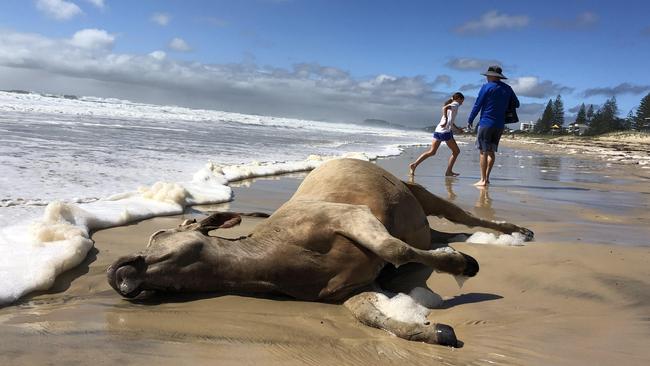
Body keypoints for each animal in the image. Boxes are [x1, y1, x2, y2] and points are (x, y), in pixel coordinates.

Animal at [107, 158, 532, 346]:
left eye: (158, 233)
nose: (117, 270)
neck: (274, 257)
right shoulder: (352, 287)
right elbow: (371, 316)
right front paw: (434, 331)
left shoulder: (350, 216)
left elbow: (392, 247)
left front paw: (463, 267)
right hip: (424, 226)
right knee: (442, 234)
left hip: (420, 194)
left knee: (461, 216)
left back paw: (514, 232)